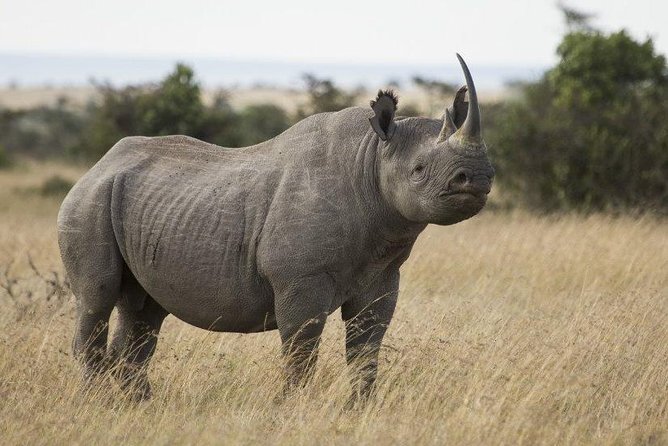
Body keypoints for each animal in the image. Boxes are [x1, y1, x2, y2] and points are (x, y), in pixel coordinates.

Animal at [57, 54, 494, 402]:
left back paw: (137, 405)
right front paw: (293, 409)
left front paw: (362, 410)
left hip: (141, 205)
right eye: (418, 170)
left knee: (144, 311)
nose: (476, 177)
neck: (370, 159)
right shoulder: (300, 278)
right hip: (87, 203)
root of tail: (96, 166)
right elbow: (301, 351)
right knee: (97, 297)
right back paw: (98, 404)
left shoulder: (382, 275)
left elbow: (366, 347)